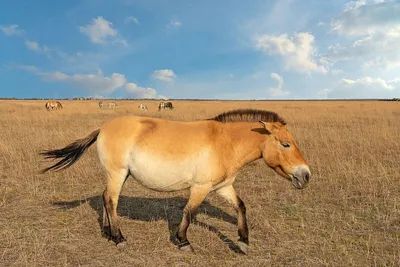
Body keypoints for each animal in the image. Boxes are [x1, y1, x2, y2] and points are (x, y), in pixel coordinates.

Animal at [39, 109, 310, 255]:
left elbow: (240, 206)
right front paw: (183, 242)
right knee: (110, 200)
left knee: (106, 199)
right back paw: (119, 238)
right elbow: (189, 212)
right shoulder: (200, 188)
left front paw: (243, 242)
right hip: (117, 174)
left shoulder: (223, 187)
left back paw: (108, 233)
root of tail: (103, 128)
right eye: (286, 144)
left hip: (118, 175)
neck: (224, 143)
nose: (306, 175)